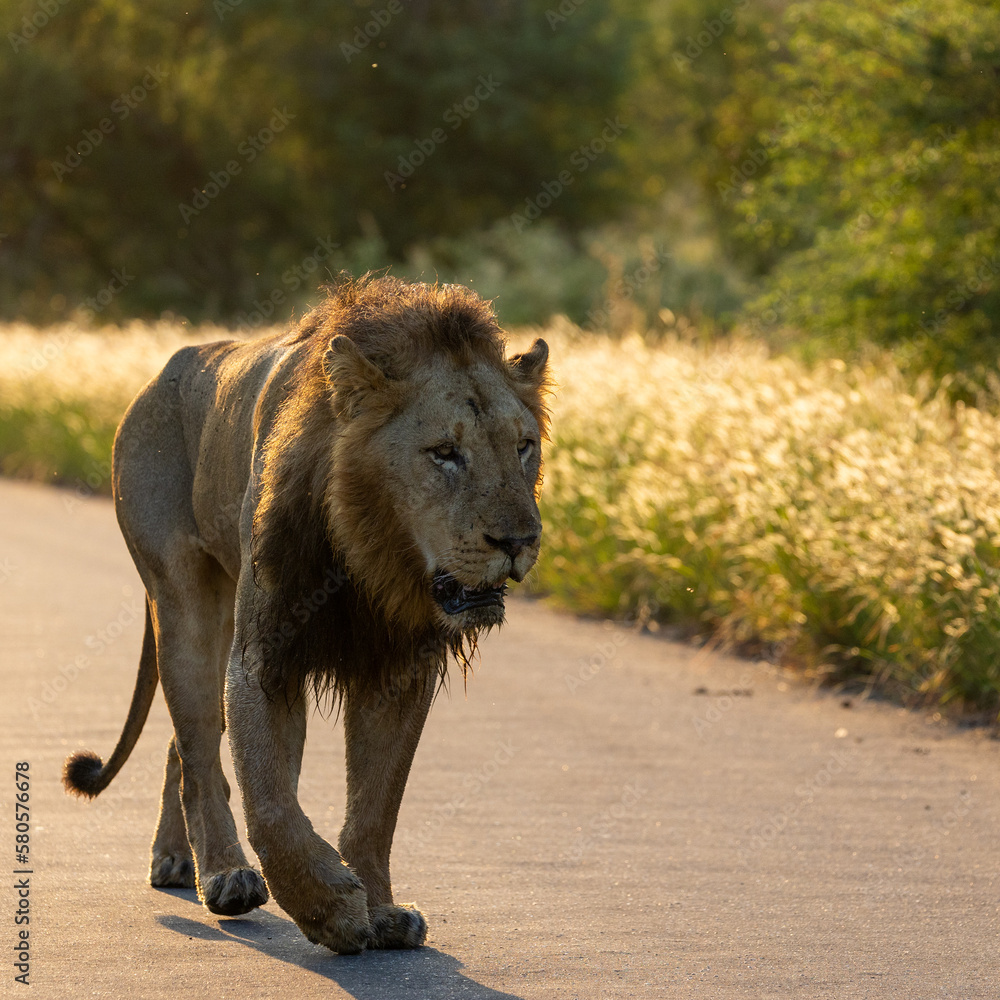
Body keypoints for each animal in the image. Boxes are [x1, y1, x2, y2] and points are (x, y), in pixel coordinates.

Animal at [62, 275, 550, 954]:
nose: (520, 540)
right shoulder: (264, 655)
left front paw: (381, 907)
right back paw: (222, 873)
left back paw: (178, 857)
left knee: (186, 743)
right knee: (200, 750)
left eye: (524, 447)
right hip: (184, 601)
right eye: (444, 452)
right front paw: (329, 907)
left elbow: (376, 805)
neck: (370, 554)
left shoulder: (399, 666)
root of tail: (164, 370)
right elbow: (270, 803)